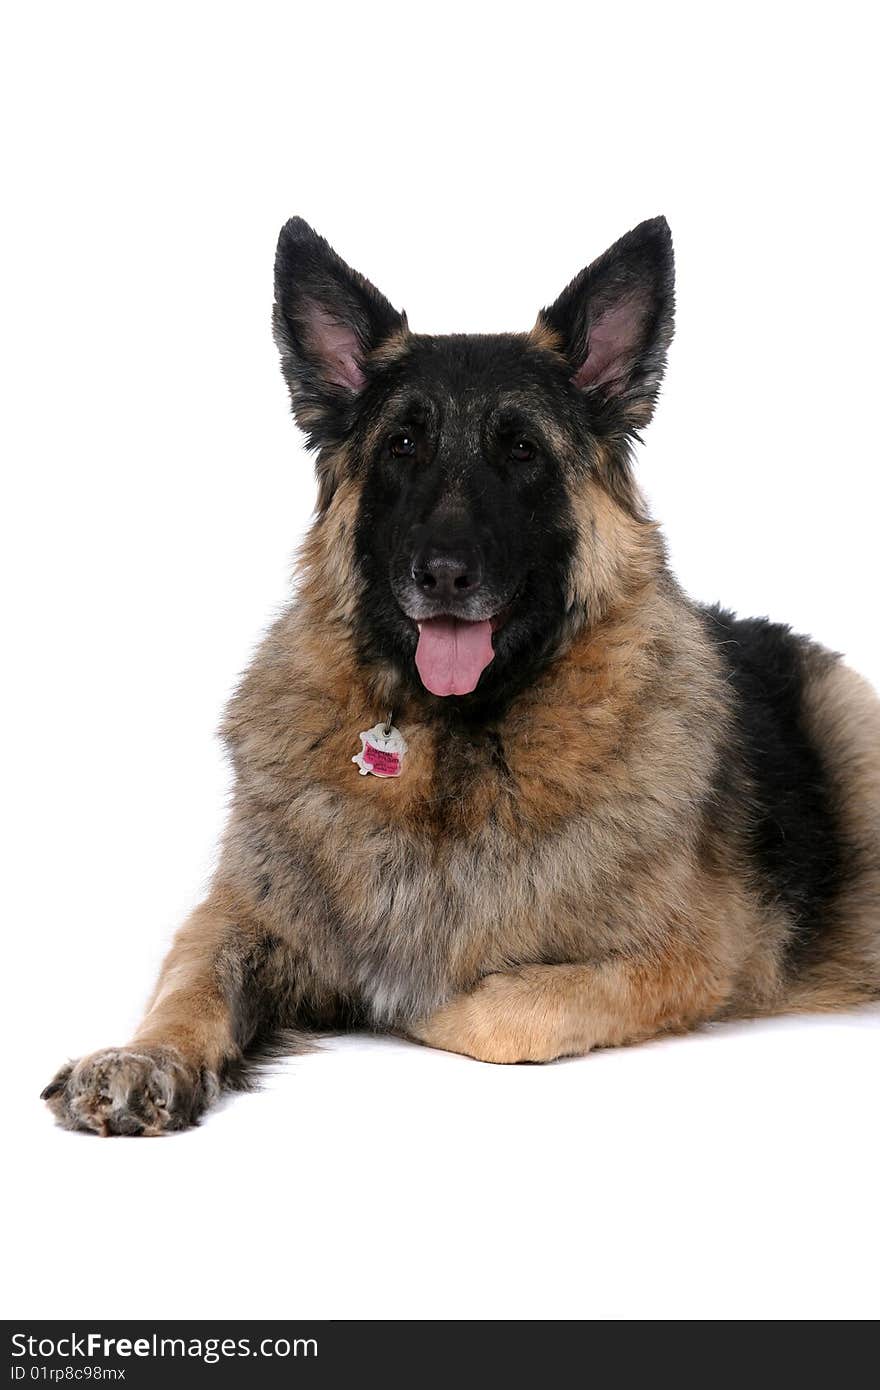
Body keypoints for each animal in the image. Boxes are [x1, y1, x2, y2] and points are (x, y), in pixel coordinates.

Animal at [42, 214, 878, 1128]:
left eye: (522, 451)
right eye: (403, 445)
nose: (443, 574)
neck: (455, 746)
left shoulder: (693, 959)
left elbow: (494, 1013)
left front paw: (389, 1004)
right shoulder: (235, 914)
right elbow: (190, 984)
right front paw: (144, 1058)